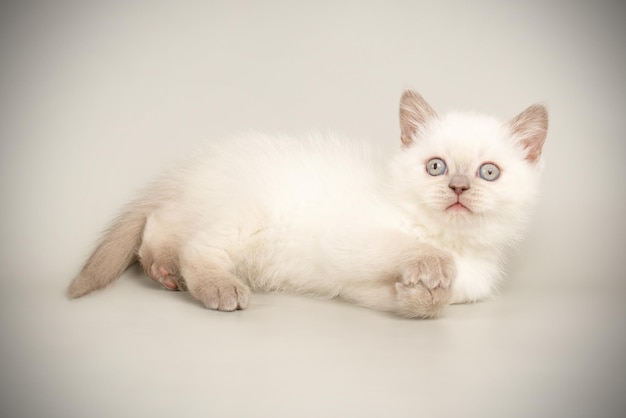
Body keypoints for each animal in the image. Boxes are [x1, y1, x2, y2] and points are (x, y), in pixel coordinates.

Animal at [69, 90, 544, 318]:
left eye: (488, 172)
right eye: (436, 167)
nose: (459, 188)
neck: (451, 239)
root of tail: (189, 169)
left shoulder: (362, 289)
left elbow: (429, 305)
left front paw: (420, 293)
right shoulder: (350, 240)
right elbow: (402, 247)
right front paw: (431, 267)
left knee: (158, 228)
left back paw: (163, 271)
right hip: (246, 213)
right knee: (192, 246)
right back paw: (217, 287)